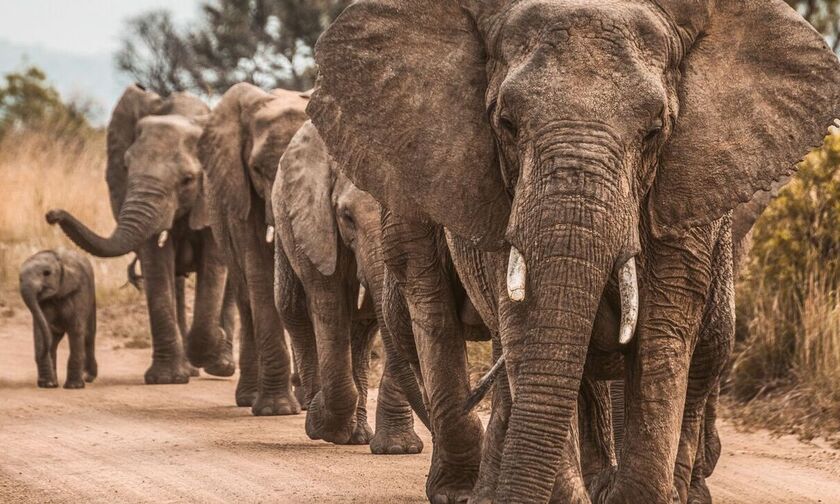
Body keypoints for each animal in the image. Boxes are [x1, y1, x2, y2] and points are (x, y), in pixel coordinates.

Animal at [19, 250, 97, 388]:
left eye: (47, 273)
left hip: (92, 297)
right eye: (19, 278)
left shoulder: (80, 291)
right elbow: (41, 330)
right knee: (53, 340)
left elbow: (76, 329)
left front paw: (74, 387)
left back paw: (88, 377)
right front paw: (47, 385)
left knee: (88, 335)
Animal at [47, 84, 235, 384]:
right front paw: (166, 379)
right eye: (125, 168)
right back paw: (190, 368)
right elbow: (156, 264)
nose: (52, 214)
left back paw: (222, 365)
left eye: (188, 180)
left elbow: (214, 264)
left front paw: (213, 342)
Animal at [272, 120, 430, 450]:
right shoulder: (316, 222)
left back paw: (356, 436)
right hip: (285, 224)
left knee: (363, 328)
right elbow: (329, 305)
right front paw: (322, 424)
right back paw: (320, 418)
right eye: (347, 217)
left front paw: (399, 449)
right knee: (293, 310)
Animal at [308, 1, 840, 502]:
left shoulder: (689, 187)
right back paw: (467, 490)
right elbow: (527, 327)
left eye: (656, 130)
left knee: (707, 347)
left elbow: (663, 334)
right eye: (505, 123)